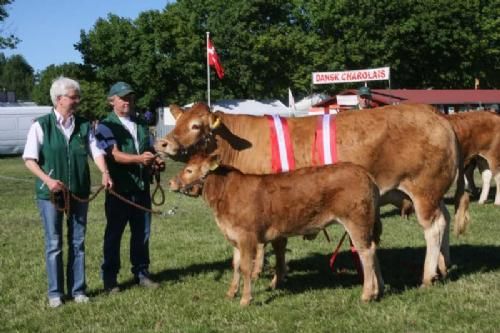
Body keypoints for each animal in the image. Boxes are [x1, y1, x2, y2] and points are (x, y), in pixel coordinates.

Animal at [156, 102, 468, 286]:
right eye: (177, 122)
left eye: (196, 125)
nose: (162, 143)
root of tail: (434, 113)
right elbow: (276, 244)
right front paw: (272, 273)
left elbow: (268, 245)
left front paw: (262, 274)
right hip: (434, 192)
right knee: (445, 219)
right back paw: (444, 266)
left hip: (423, 189)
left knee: (433, 227)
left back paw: (427, 275)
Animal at [168, 154, 382, 304]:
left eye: (189, 170)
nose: (171, 182)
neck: (225, 195)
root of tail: (364, 172)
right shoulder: (235, 238)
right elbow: (235, 265)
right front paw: (231, 292)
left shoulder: (247, 237)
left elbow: (246, 267)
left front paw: (245, 299)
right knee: (374, 249)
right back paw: (379, 289)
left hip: (356, 221)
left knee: (366, 252)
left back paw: (367, 294)